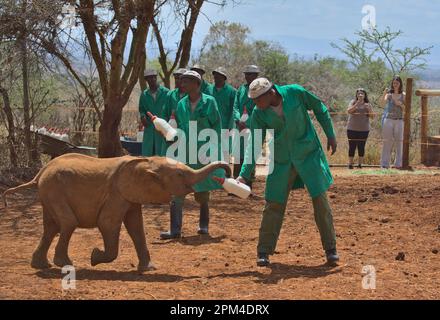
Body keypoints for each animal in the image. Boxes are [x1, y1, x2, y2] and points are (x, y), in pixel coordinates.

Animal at [3, 154, 230, 272]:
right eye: (181, 174)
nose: (227, 173)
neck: (146, 161)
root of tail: (39, 173)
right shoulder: (117, 194)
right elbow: (108, 223)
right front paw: (94, 257)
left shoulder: (130, 195)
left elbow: (136, 227)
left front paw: (149, 269)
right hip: (53, 190)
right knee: (67, 223)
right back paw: (65, 264)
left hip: (49, 192)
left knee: (51, 227)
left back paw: (42, 266)